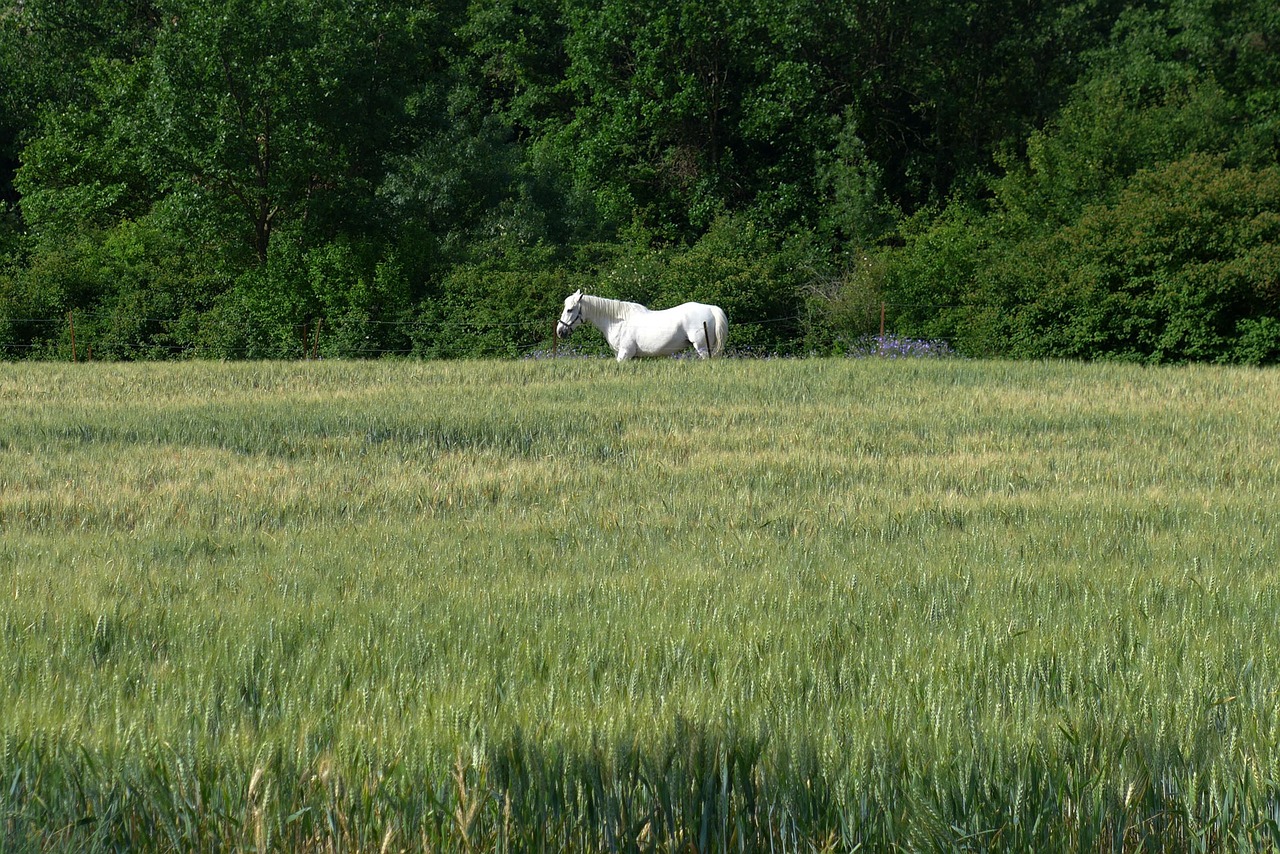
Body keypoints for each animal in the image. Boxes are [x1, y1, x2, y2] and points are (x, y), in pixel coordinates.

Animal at [552, 291, 732, 363]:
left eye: (570, 309)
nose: (560, 331)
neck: (617, 321)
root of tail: (711, 308)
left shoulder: (624, 354)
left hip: (702, 348)